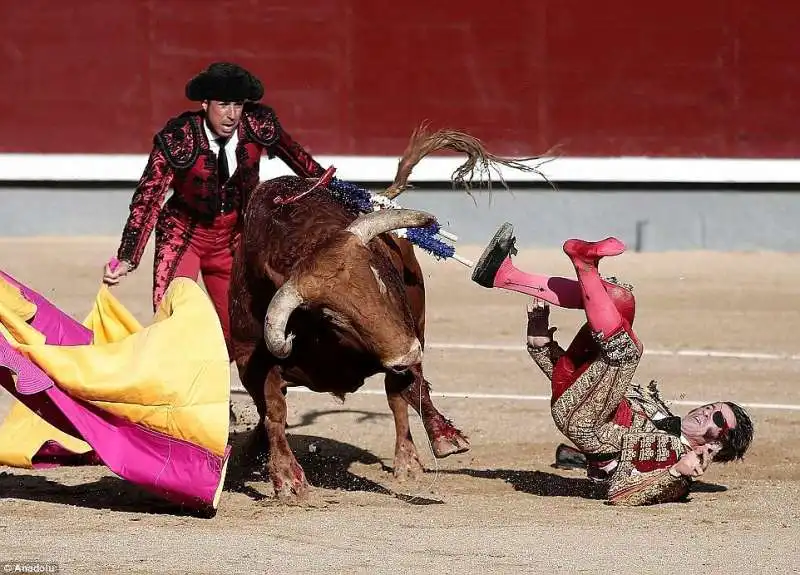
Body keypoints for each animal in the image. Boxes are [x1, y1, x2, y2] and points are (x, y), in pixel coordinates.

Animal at [231, 126, 544, 500]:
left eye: (380, 276)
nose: (407, 352)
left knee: (404, 393)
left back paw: (427, 449)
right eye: (333, 318)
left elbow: (406, 390)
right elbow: (272, 409)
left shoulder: (405, 332)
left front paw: (428, 449)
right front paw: (287, 479)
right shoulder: (249, 358)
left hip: (416, 325)